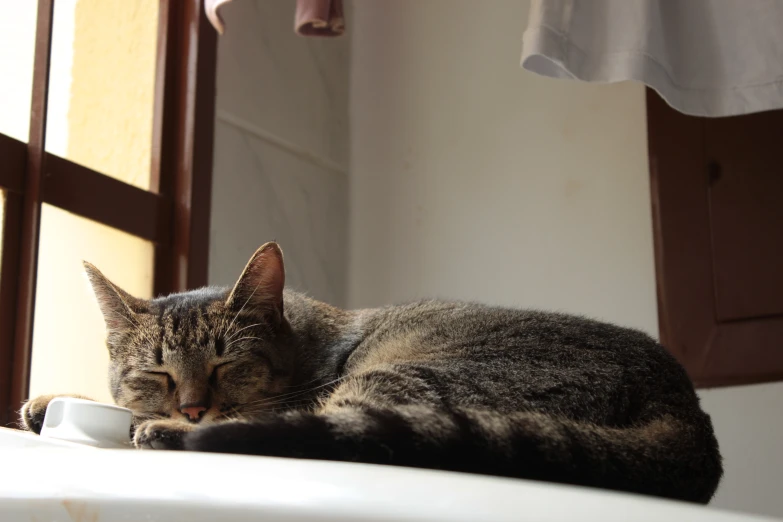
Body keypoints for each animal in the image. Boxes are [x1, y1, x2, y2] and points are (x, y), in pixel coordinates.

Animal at [21, 242, 724, 502]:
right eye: (157, 375)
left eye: (228, 365)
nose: (191, 407)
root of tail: (685, 401)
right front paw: (50, 399)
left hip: (404, 384)